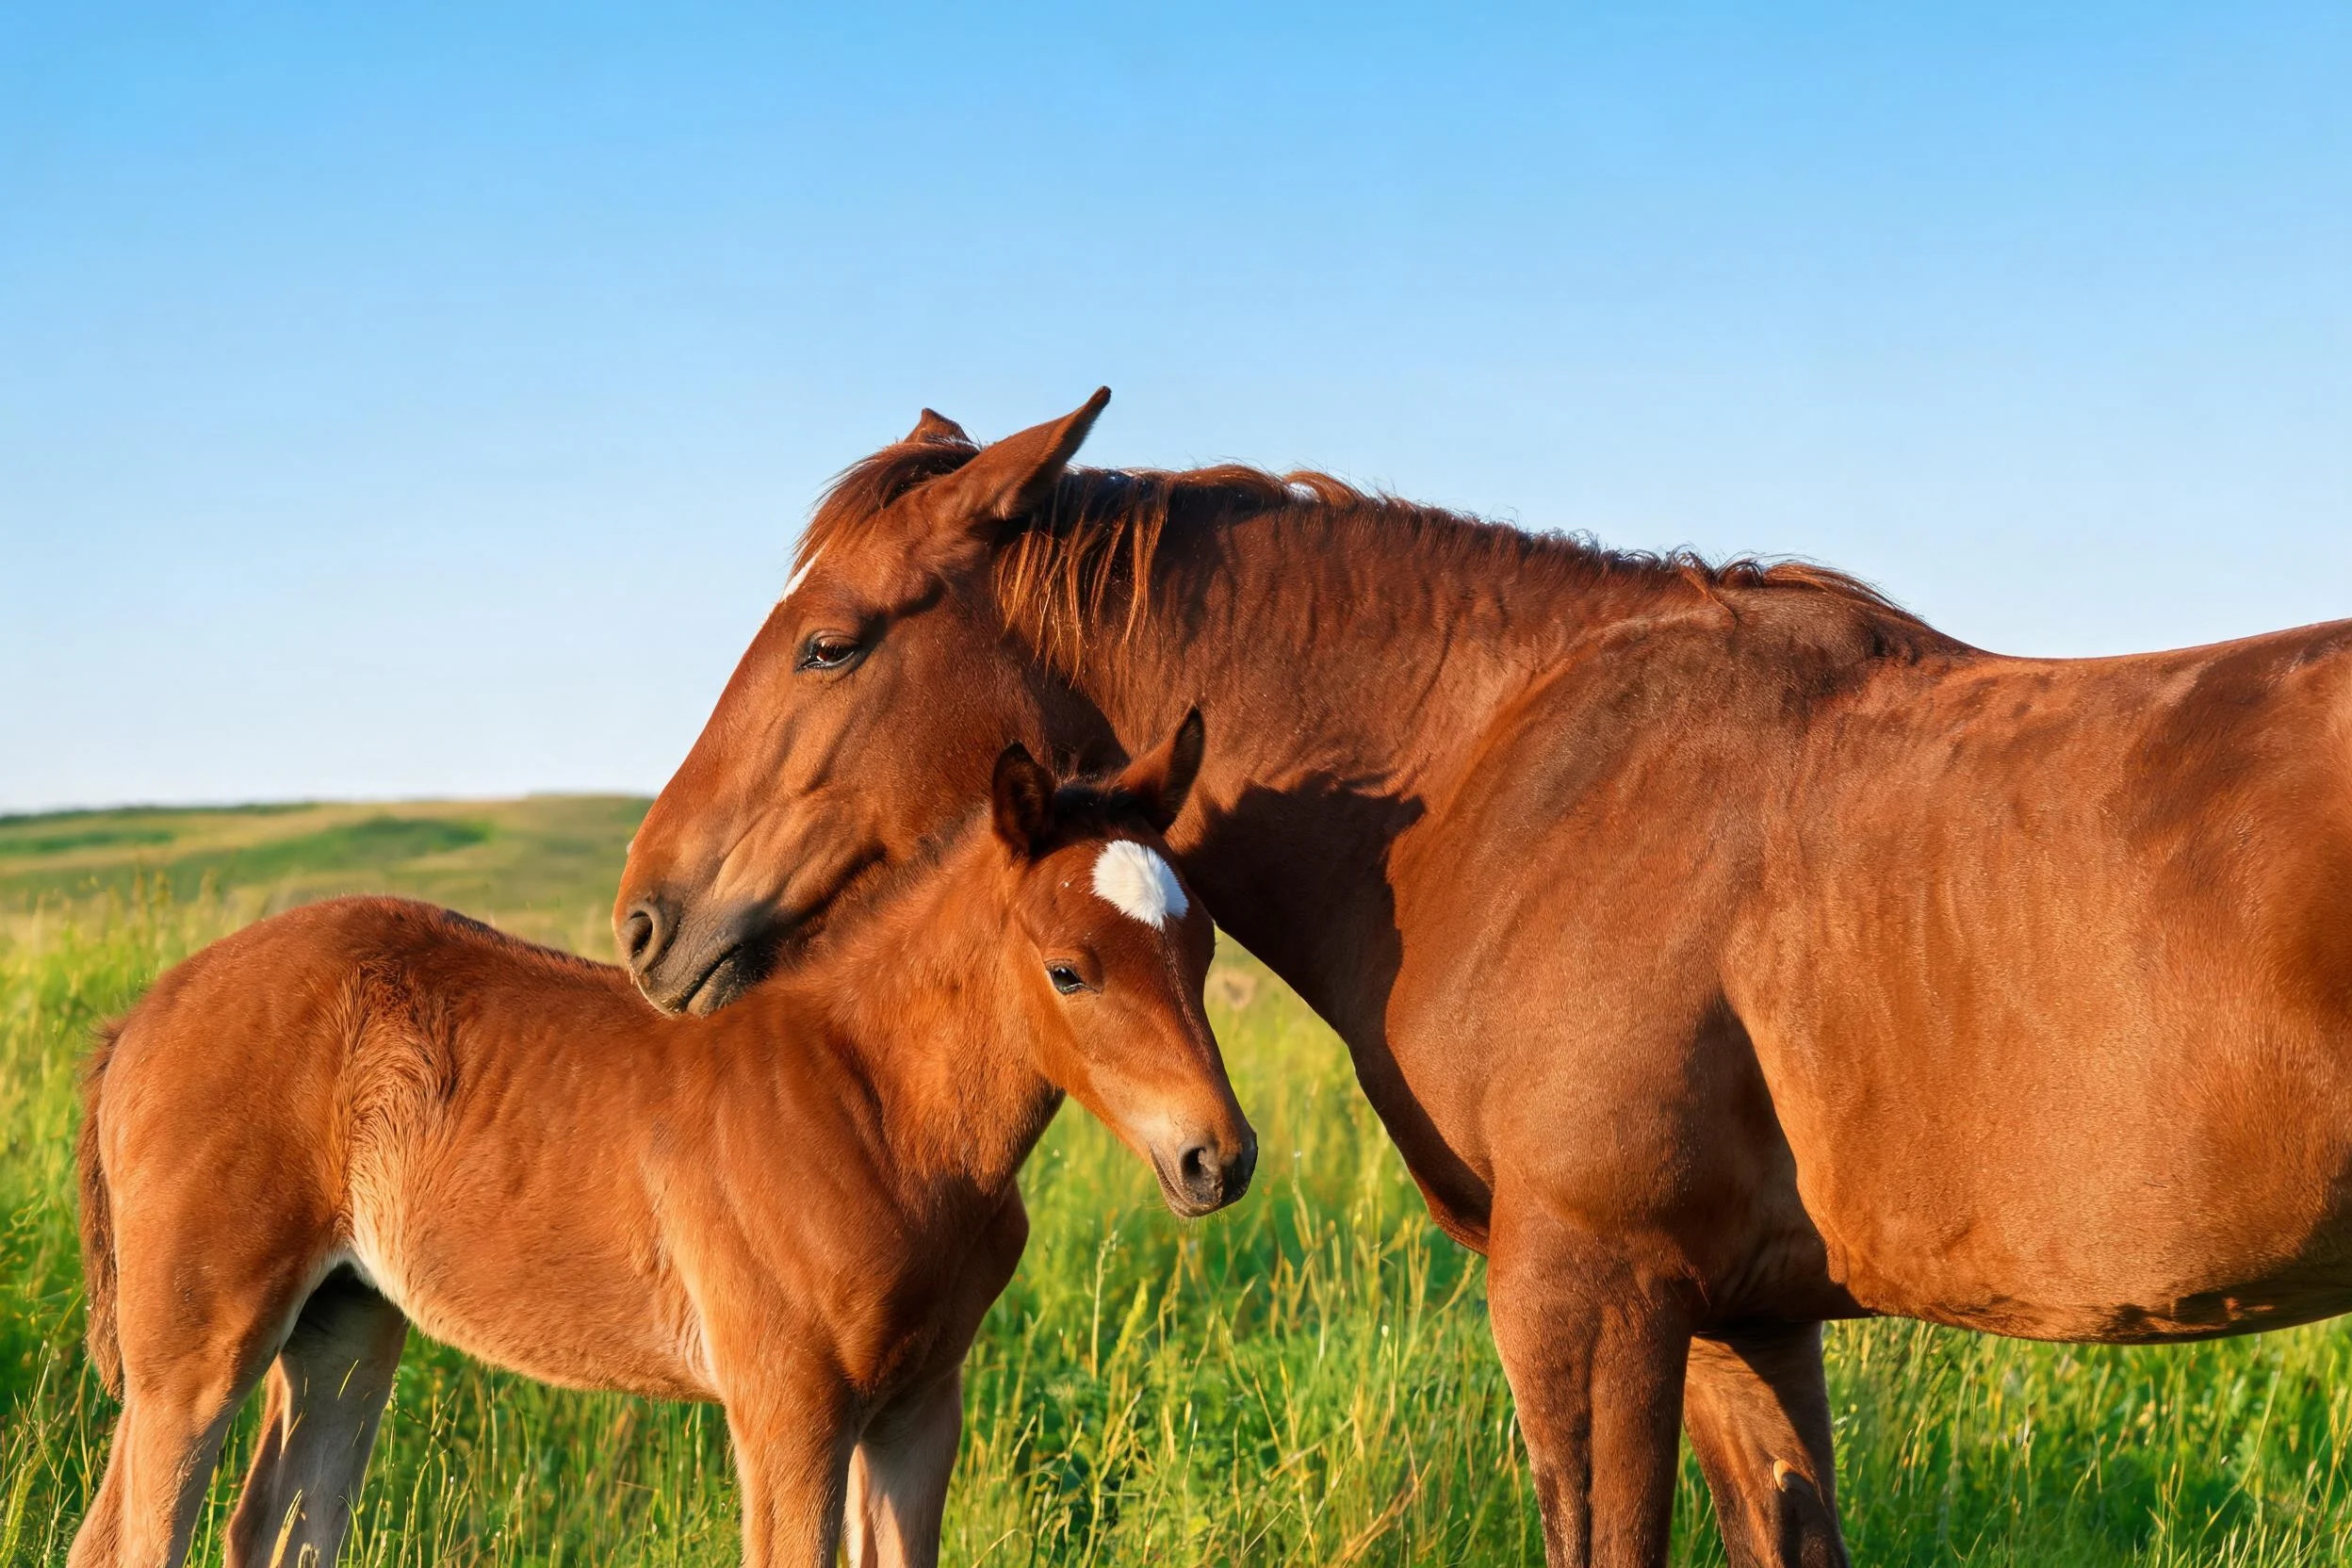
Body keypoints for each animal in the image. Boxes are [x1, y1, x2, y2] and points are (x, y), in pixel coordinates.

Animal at [70, 722, 1255, 1568]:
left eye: (1201, 943)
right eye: (1068, 969)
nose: (1220, 1157)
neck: (878, 1112)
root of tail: (144, 1013)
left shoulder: (920, 1410)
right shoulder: (790, 1410)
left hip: (345, 1325)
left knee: (271, 1527)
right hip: (194, 1349)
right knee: (131, 1536)